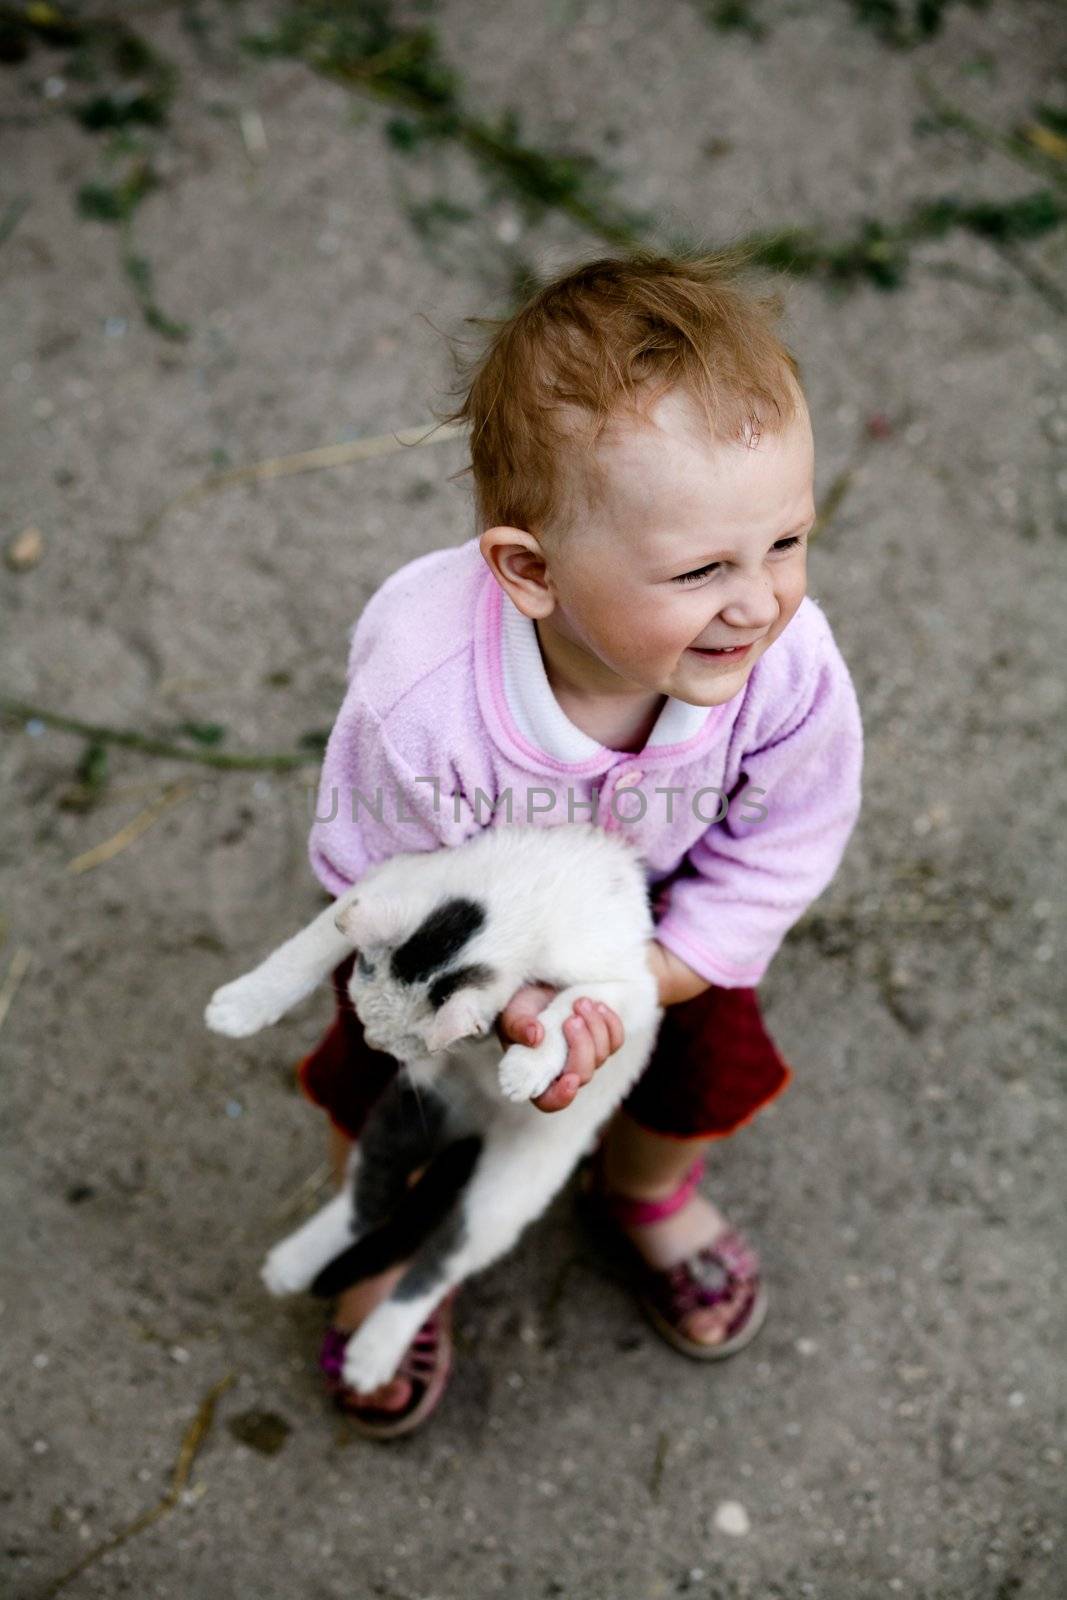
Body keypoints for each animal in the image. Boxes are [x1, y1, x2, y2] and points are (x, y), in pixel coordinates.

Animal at [204, 819, 662, 1395]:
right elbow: (315, 940)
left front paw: (528, 1066)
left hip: (505, 1195)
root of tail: (476, 1123)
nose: (372, 1044)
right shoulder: (403, 874)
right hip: (403, 1115)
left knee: (439, 1263)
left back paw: (375, 1349)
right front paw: (243, 1004)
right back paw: (295, 1262)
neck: (525, 902)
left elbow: (572, 1008)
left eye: (407, 1045)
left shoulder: (633, 985)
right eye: (364, 1013)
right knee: (368, 1200)